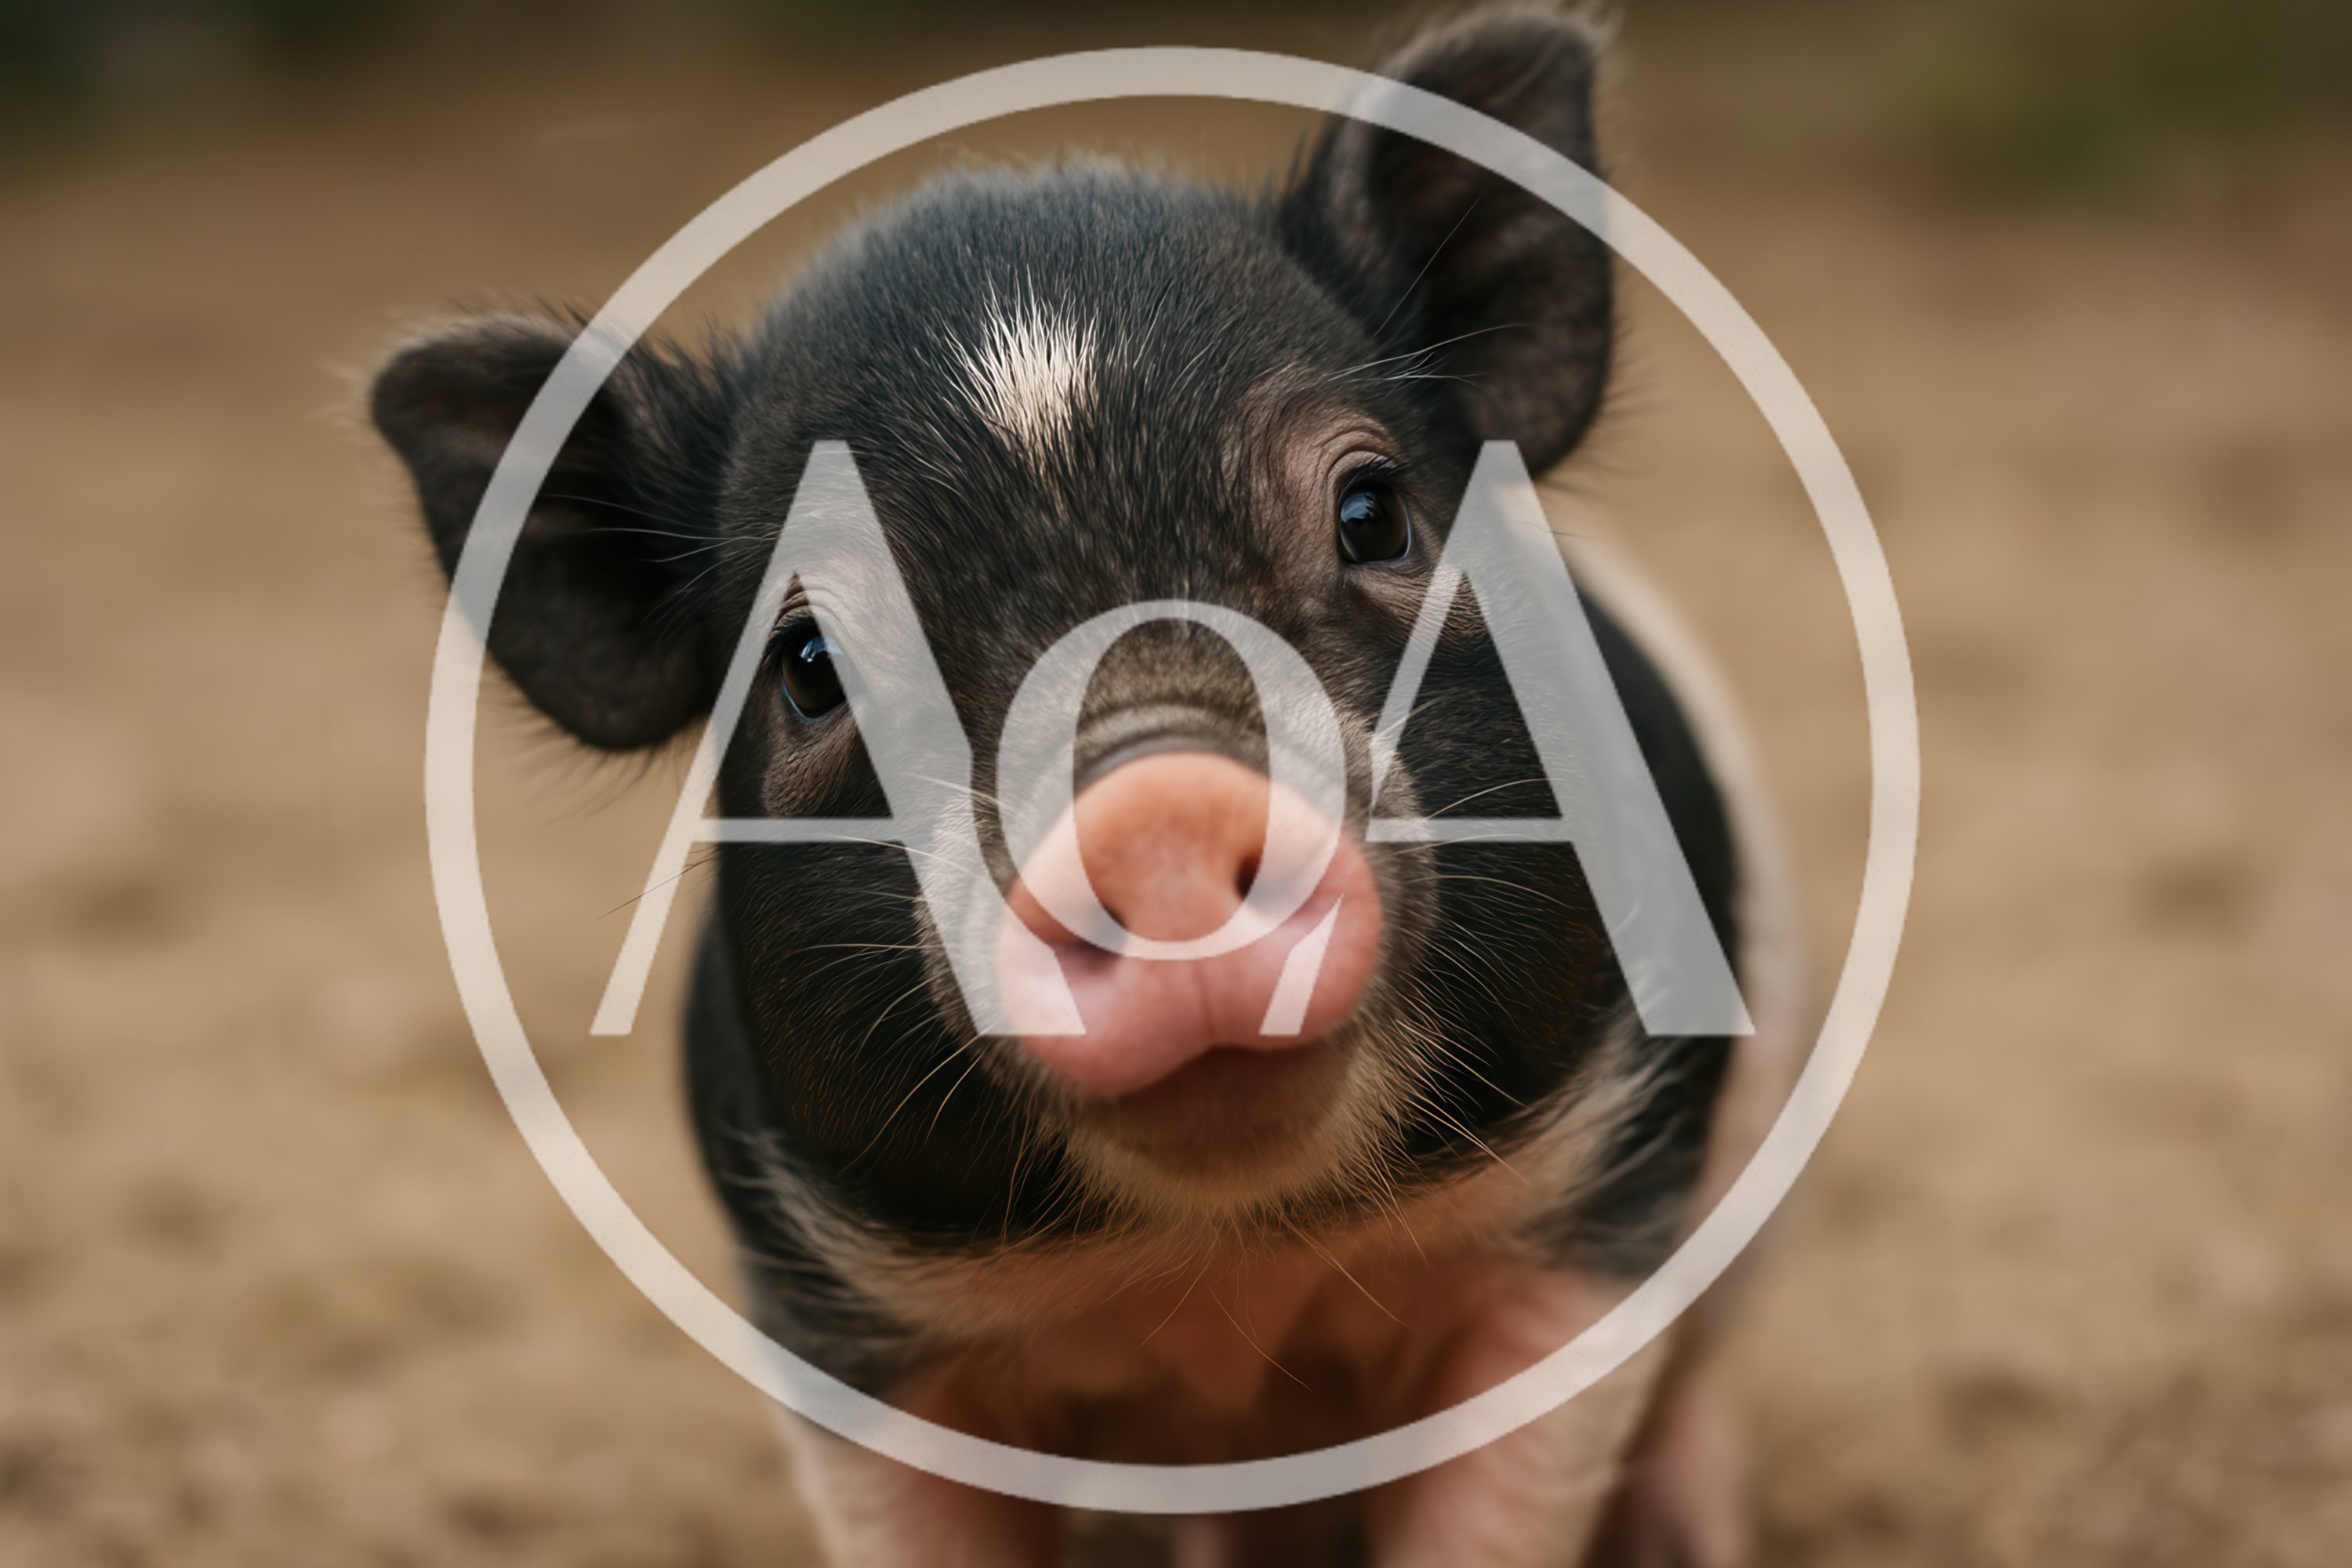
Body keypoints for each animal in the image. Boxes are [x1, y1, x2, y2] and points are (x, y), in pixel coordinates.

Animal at [371, 7, 1810, 1565]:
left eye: (1375, 515)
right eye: (809, 666)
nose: (1156, 811)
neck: (1230, 1276)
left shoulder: (1584, 1201)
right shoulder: (849, 1318)